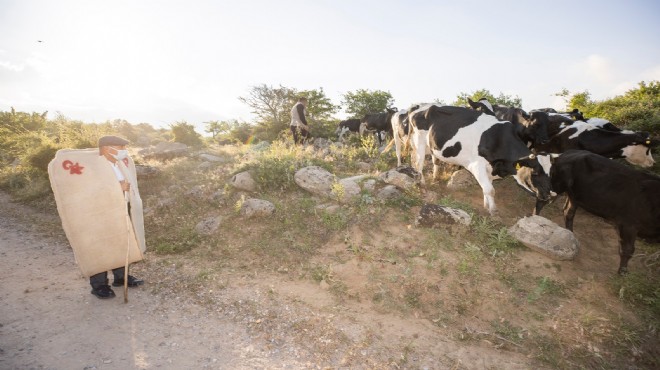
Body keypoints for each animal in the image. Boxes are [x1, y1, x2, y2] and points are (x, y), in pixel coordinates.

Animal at [410, 105, 556, 214]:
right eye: (535, 172)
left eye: (550, 172)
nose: (548, 196)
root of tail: (422, 108)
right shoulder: (476, 165)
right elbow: (490, 189)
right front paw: (493, 211)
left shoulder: (491, 168)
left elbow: (488, 188)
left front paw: (487, 205)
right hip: (419, 141)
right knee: (418, 163)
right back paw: (421, 182)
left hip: (431, 146)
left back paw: (434, 177)